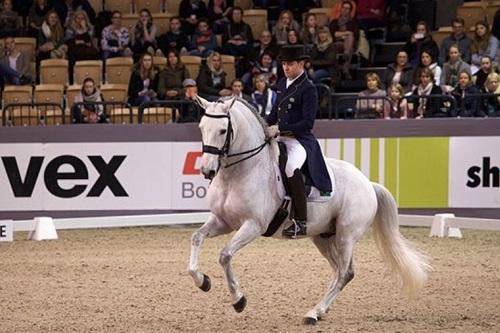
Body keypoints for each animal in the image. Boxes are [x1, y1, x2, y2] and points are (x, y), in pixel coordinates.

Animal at [188, 96, 430, 324]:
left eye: (222, 130)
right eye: (201, 127)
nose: (207, 170)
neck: (241, 172)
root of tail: (368, 183)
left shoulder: (253, 225)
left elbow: (225, 255)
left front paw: (239, 300)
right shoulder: (222, 221)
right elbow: (196, 237)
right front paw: (202, 281)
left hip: (347, 234)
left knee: (345, 272)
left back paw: (314, 313)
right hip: (323, 236)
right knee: (338, 270)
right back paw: (321, 311)